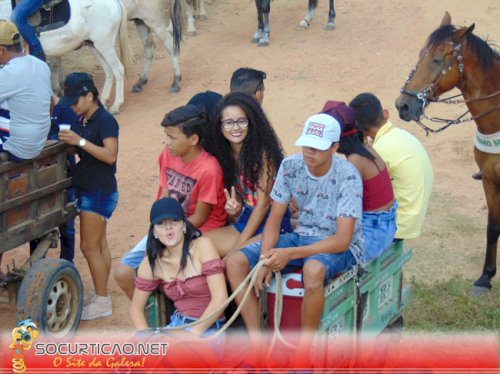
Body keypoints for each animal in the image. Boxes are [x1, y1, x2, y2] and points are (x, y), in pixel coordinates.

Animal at [396, 11, 498, 296]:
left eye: (437, 60)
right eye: (421, 55)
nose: (403, 105)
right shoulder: (489, 179)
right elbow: (493, 227)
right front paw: (485, 278)